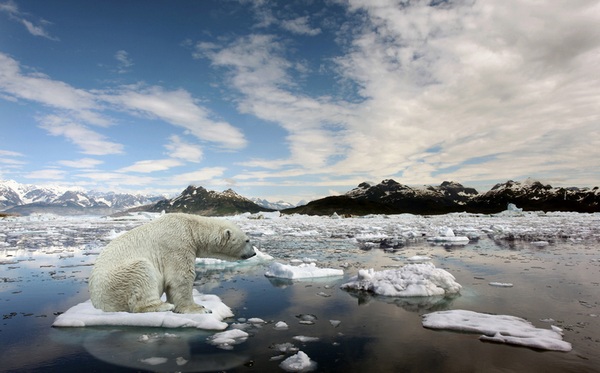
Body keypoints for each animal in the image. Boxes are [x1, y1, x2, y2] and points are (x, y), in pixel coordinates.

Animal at [89, 212, 255, 314]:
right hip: (117, 281)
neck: (191, 227)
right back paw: (163, 306)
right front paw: (201, 308)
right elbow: (181, 278)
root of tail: (97, 304)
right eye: (247, 240)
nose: (253, 253)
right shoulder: (177, 245)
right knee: (142, 272)